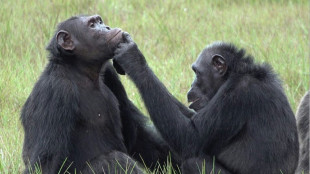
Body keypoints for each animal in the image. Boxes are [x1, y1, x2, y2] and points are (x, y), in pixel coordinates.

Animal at [21, 15, 177, 174]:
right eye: (92, 25)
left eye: (99, 21)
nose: (106, 27)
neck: (81, 71)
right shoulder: (56, 91)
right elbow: (47, 160)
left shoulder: (110, 73)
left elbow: (137, 136)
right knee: (112, 160)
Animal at [112, 33, 300, 174]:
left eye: (196, 72)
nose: (191, 85)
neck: (235, 73)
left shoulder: (238, 95)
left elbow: (191, 136)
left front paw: (133, 58)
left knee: (193, 162)